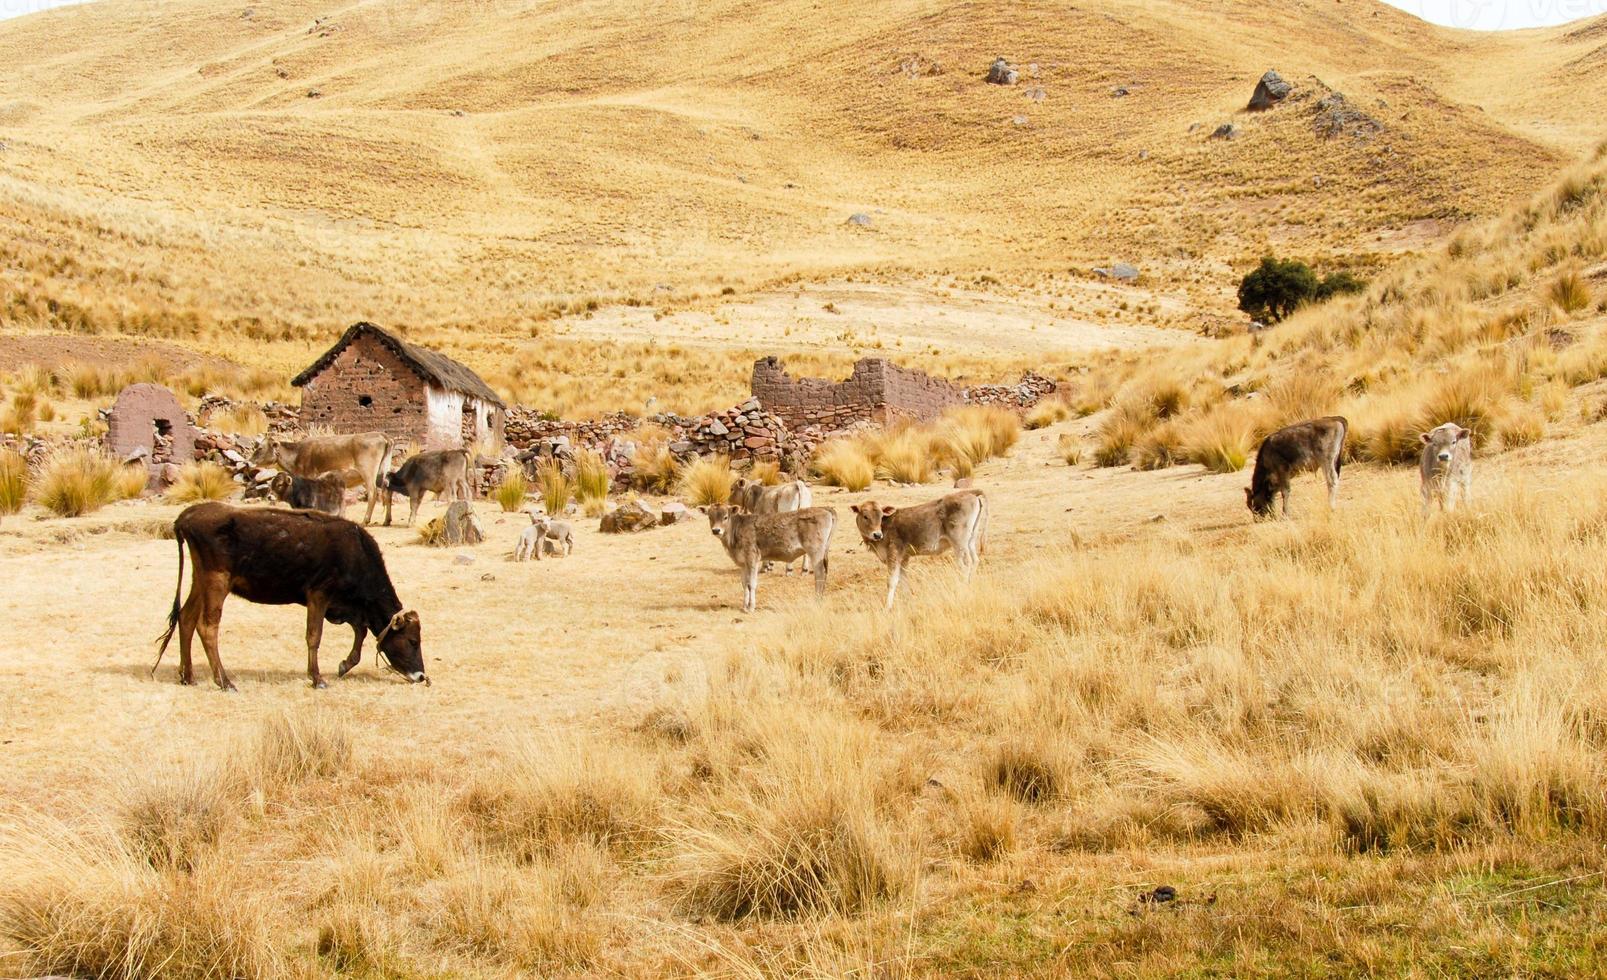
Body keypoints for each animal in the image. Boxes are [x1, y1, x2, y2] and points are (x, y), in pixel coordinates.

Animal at [151, 504, 424, 687]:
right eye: (413, 641)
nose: (421, 676)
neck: (356, 551)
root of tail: (189, 514)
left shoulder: (346, 607)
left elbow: (361, 631)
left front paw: (345, 664)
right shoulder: (319, 594)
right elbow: (314, 636)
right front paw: (317, 678)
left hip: (200, 580)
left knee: (186, 618)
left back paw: (188, 676)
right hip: (216, 581)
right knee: (207, 626)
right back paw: (224, 681)